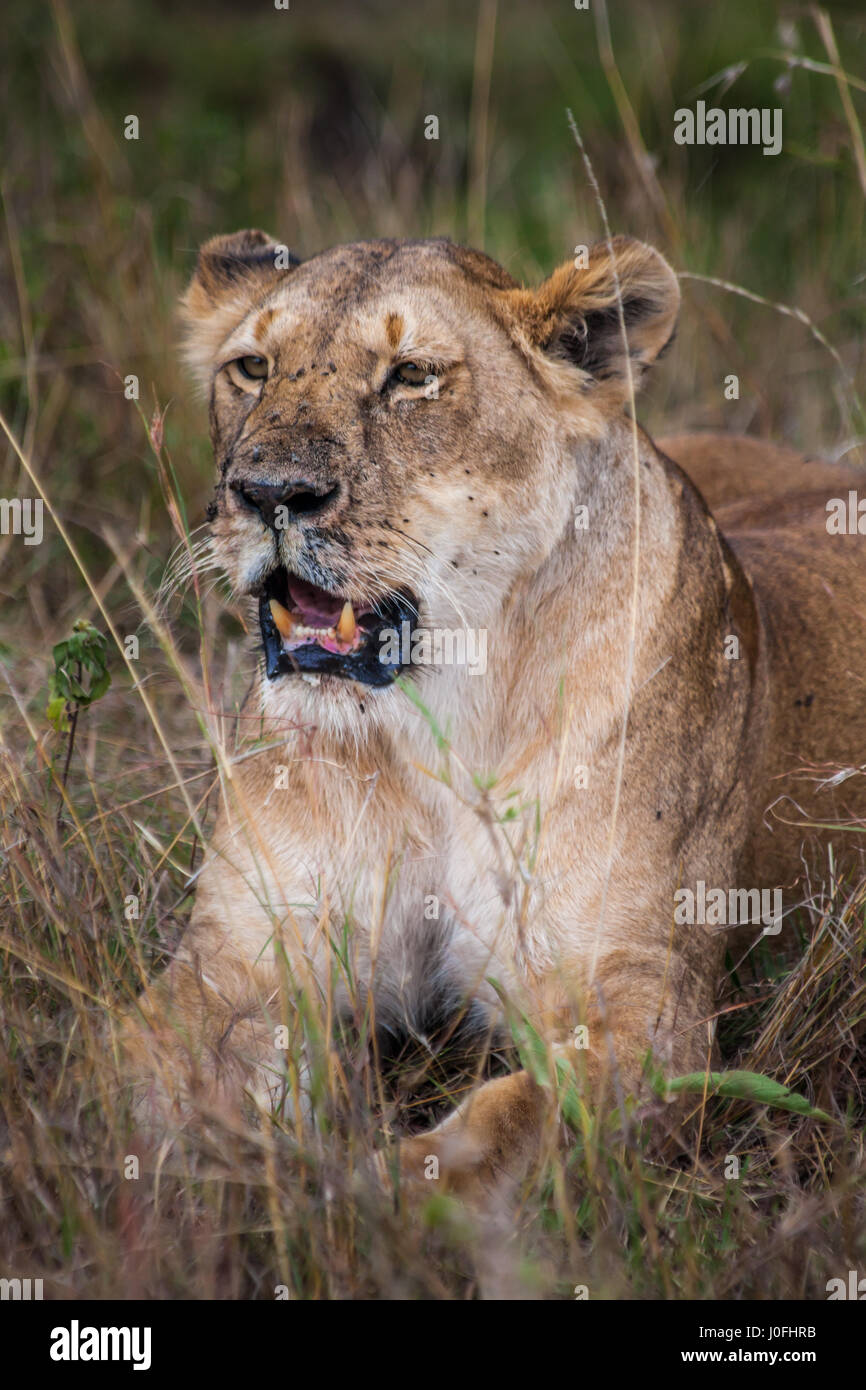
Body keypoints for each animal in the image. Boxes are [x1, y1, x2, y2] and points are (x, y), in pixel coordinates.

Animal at [119, 230, 866, 1196]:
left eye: (411, 376)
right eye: (252, 367)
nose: (270, 493)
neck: (433, 723)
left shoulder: (637, 997)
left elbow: (506, 1128)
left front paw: (371, 1199)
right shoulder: (235, 957)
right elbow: (135, 1069)